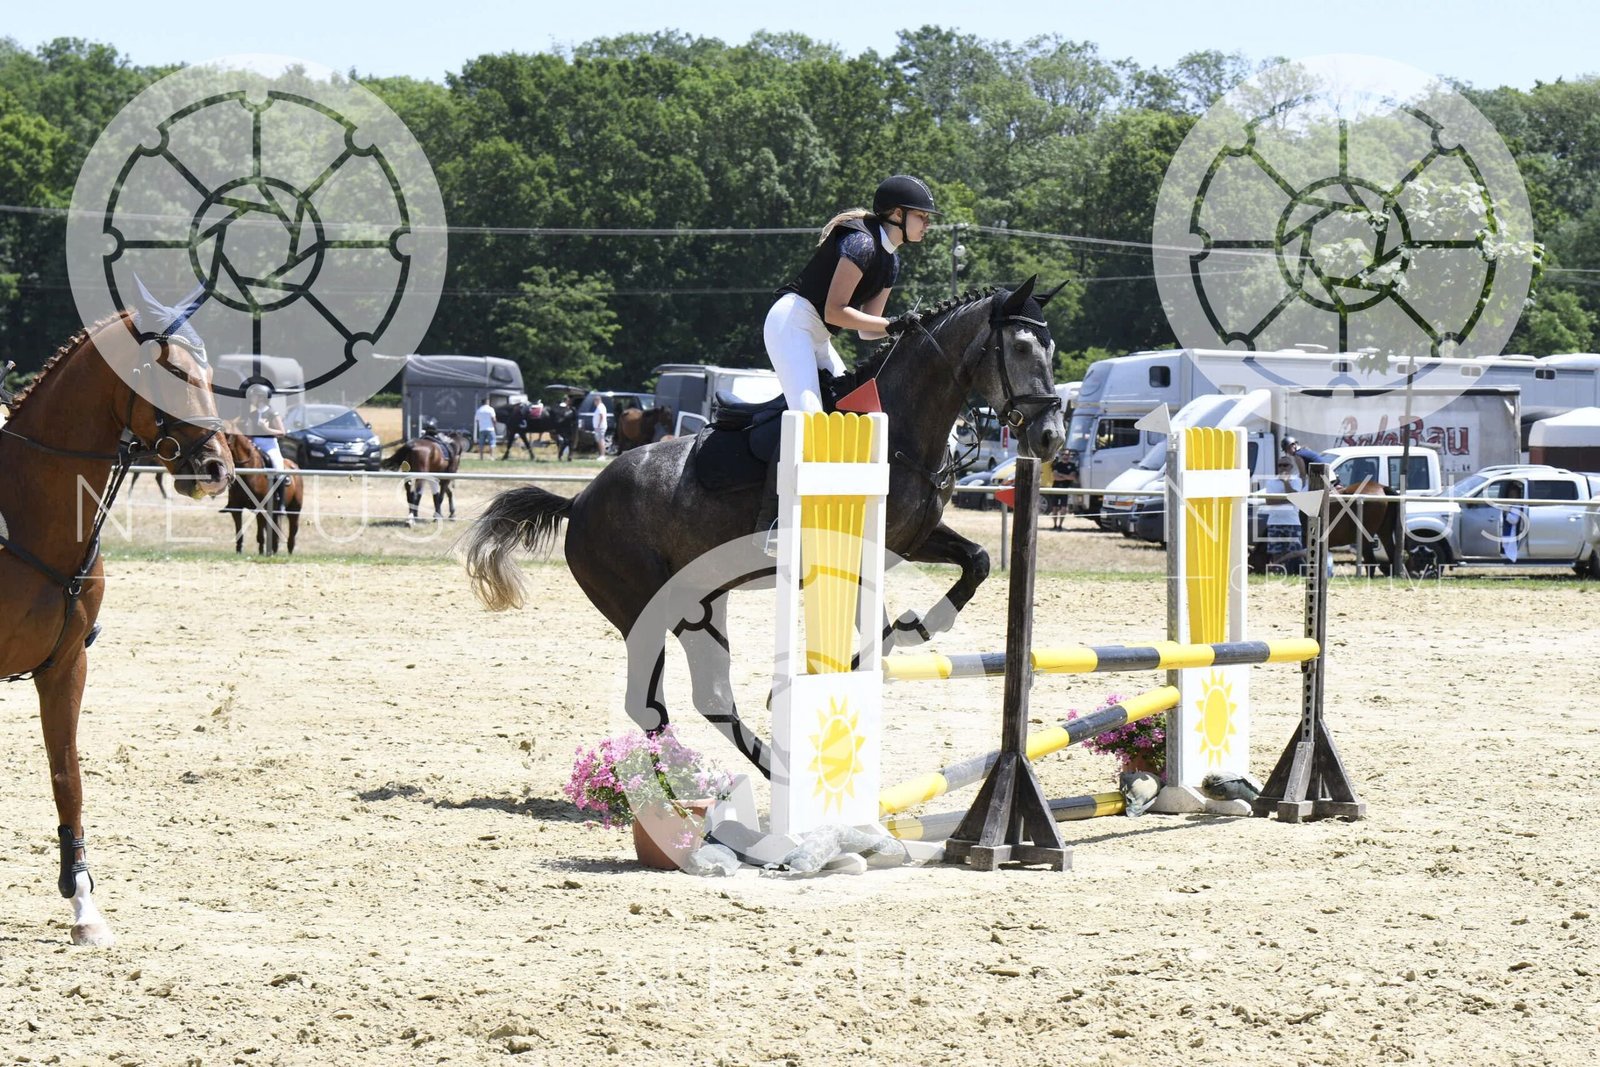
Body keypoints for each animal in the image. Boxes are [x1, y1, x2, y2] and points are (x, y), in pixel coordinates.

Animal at [464, 277, 1066, 777]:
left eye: (1052, 349)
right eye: (1019, 348)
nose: (1050, 437)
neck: (900, 431)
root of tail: (581, 500)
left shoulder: (911, 540)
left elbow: (973, 565)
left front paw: (924, 625)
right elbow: (871, 629)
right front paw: (804, 688)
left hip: (702, 605)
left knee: (710, 696)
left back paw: (766, 770)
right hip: (640, 608)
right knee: (651, 704)